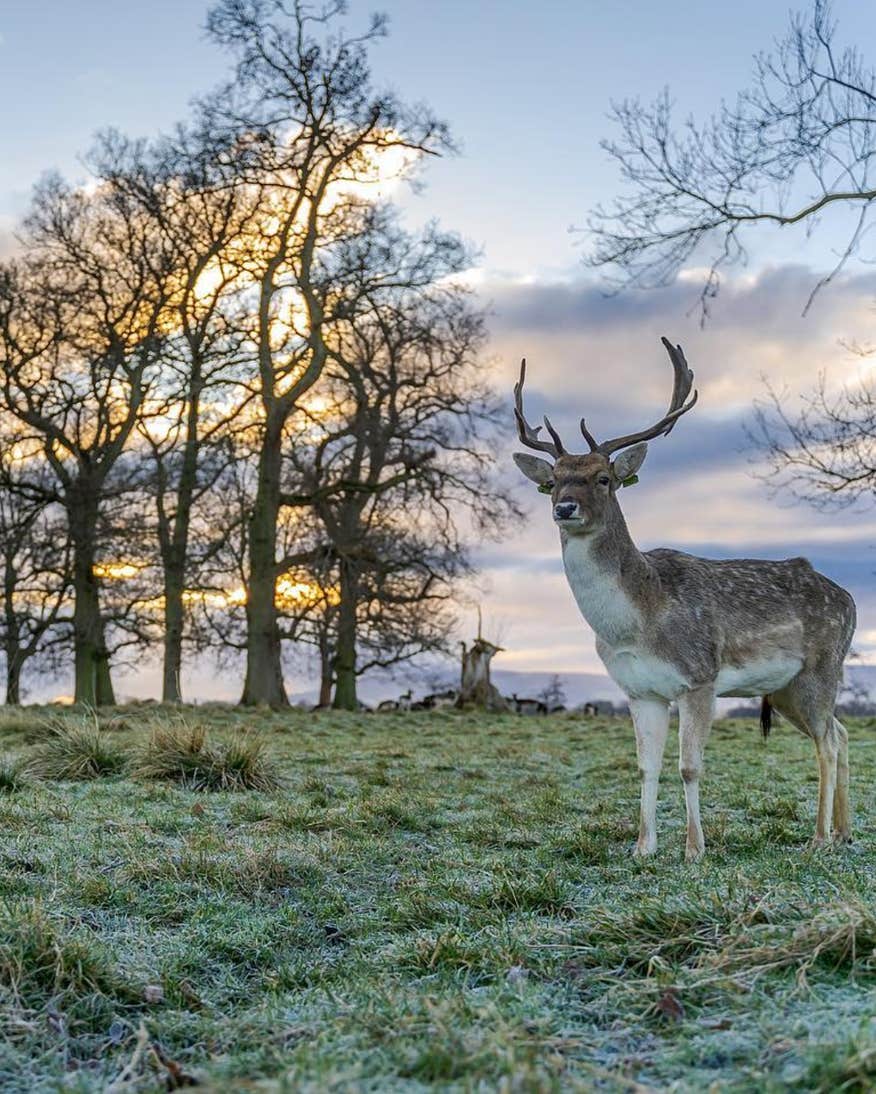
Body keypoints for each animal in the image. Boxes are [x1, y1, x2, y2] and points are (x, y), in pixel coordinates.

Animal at [511, 336, 853, 857]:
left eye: (604, 478)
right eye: (551, 480)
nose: (564, 507)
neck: (638, 620)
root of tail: (850, 599)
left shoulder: (700, 676)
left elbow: (689, 766)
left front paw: (695, 850)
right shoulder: (639, 690)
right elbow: (645, 767)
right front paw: (643, 847)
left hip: (822, 668)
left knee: (828, 744)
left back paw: (817, 839)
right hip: (786, 688)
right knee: (842, 731)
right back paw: (844, 831)